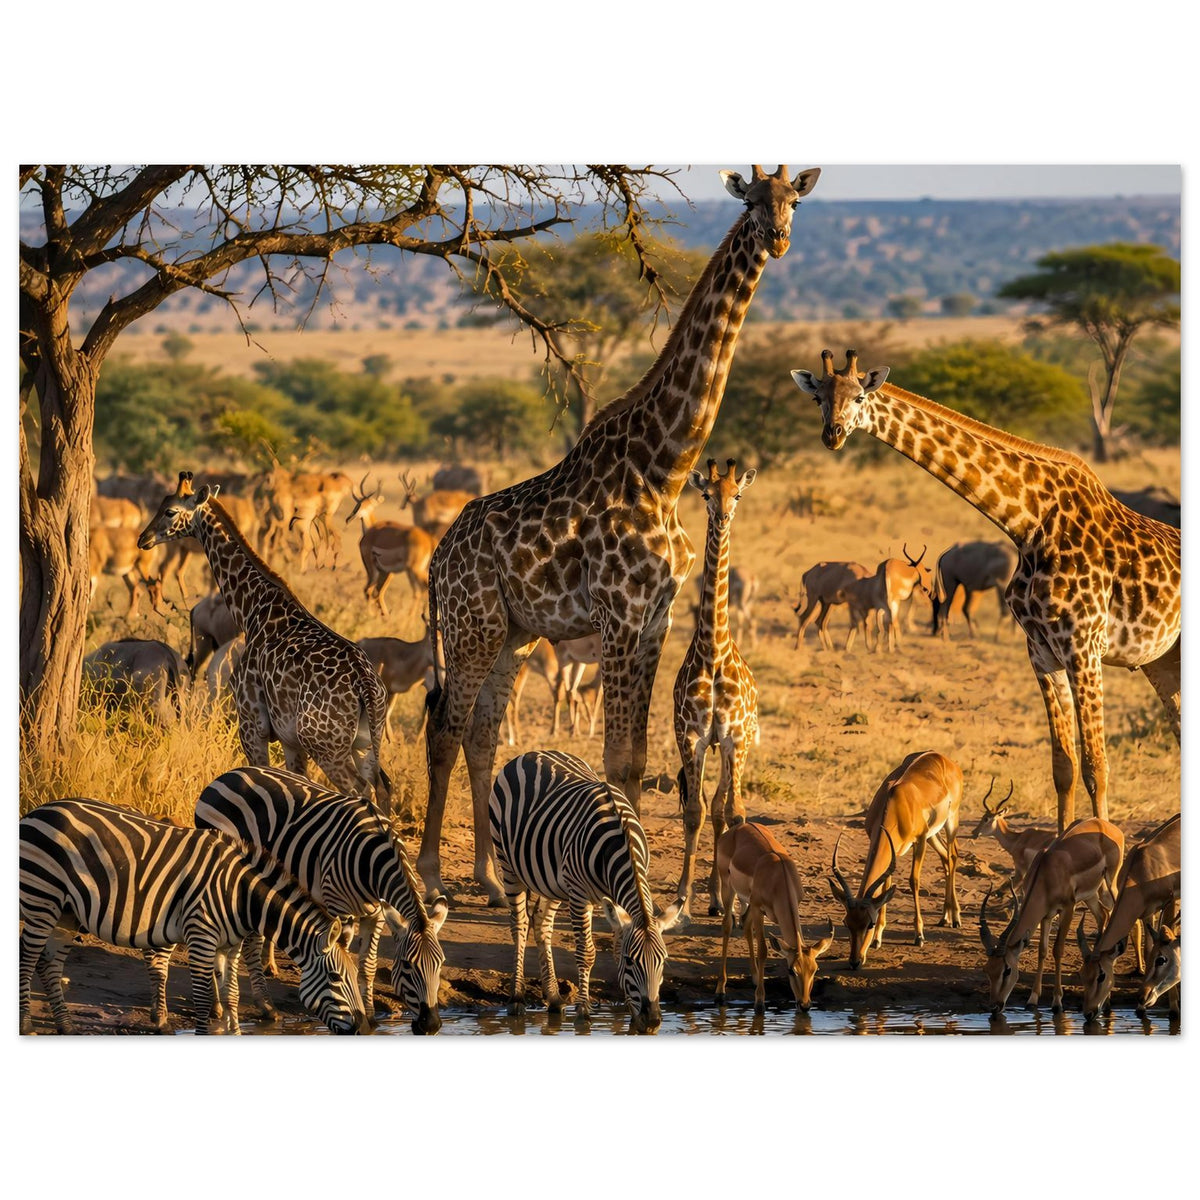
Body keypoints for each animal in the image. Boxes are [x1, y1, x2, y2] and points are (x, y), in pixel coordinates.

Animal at [19, 797, 365, 1035]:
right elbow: (201, 998)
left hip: (66, 912)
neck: (239, 894)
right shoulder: (201, 936)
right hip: (41, 899)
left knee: (49, 964)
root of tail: (35, 812)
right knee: (28, 958)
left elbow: (232, 995)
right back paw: (26, 1024)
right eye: (336, 978)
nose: (365, 1029)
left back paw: (65, 1026)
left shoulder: (230, 945)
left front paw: (235, 1032)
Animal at [195, 766, 448, 1034]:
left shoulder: (377, 914)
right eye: (408, 966)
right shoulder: (339, 907)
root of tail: (228, 774)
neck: (373, 860)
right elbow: (345, 957)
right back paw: (251, 1006)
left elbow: (368, 966)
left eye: (440, 964)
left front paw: (370, 1016)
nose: (431, 1025)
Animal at [489, 749, 685, 1033]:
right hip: (509, 864)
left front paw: (629, 1011)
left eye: (663, 961)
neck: (620, 842)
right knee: (520, 925)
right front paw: (583, 1011)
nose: (652, 1023)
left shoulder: (613, 900)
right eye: (631, 962)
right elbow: (587, 952)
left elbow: (615, 947)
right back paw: (516, 999)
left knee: (541, 923)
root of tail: (531, 753)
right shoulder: (580, 894)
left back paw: (554, 998)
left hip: (553, 881)